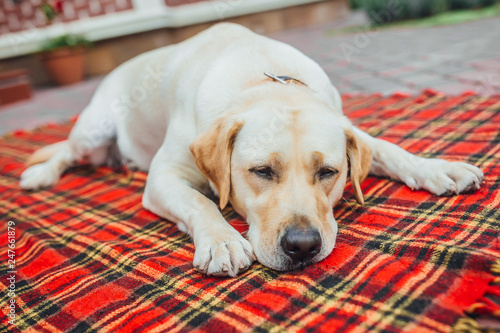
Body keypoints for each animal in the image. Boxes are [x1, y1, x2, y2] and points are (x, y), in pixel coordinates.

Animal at [21, 23, 482, 274]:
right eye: (261, 171)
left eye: (328, 173)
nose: (303, 246)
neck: (261, 79)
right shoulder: (163, 177)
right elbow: (200, 202)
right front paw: (221, 240)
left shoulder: (349, 127)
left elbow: (387, 147)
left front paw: (438, 168)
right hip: (92, 129)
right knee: (66, 149)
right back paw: (41, 173)